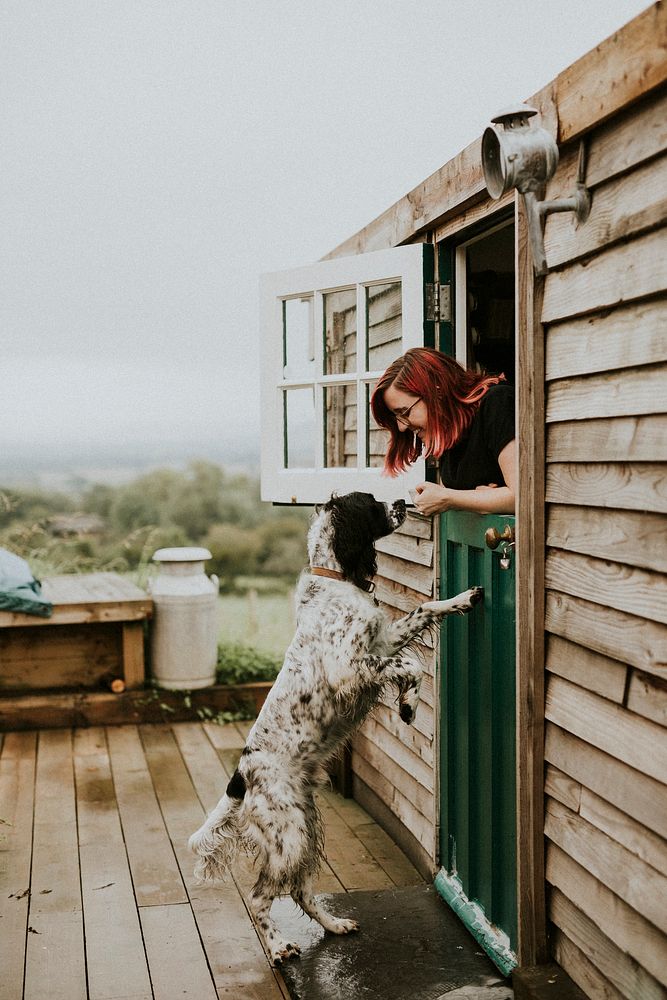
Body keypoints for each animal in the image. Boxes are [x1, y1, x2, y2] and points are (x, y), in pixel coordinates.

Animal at [190, 492, 482, 960]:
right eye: (373, 502)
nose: (403, 500)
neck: (335, 581)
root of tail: (240, 776)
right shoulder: (349, 668)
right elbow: (411, 665)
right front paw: (408, 705)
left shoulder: (383, 640)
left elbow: (423, 610)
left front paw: (464, 599)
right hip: (288, 836)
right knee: (260, 896)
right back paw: (279, 947)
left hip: (307, 825)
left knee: (302, 891)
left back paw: (335, 924)